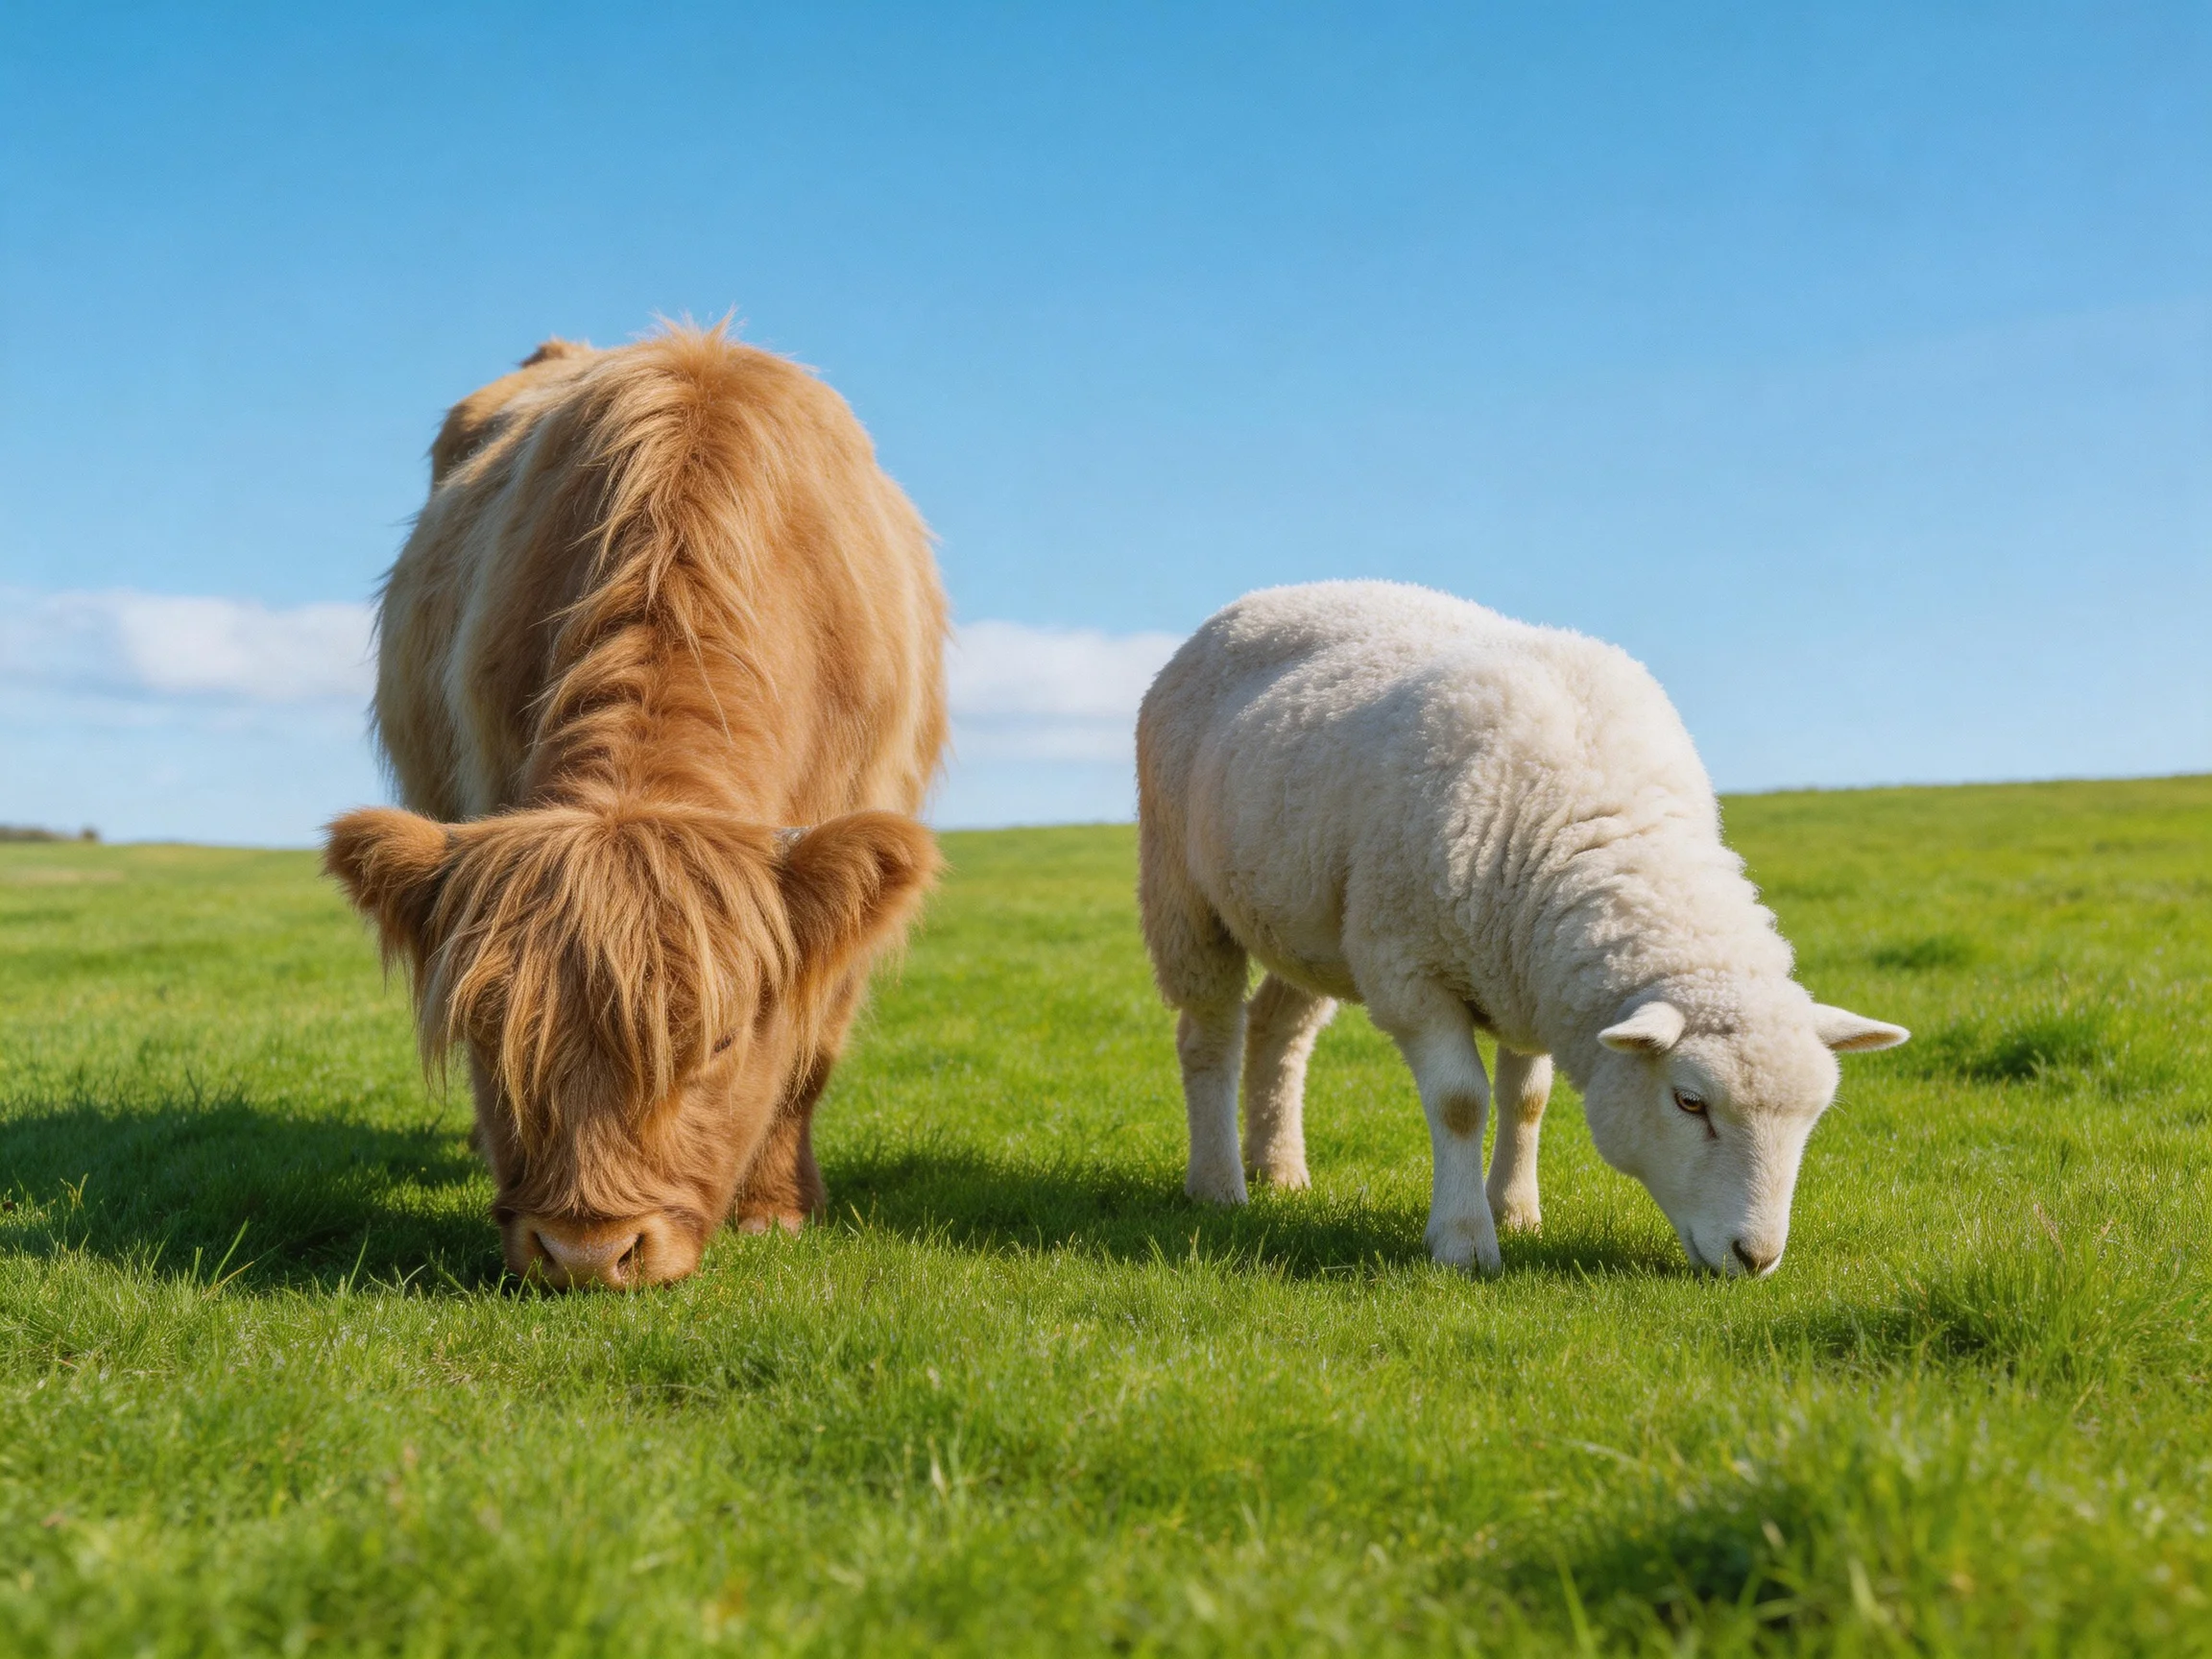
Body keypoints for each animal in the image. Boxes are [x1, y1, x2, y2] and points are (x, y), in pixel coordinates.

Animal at [1136, 581, 1906, 1277]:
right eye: (1689, 1102)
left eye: (1814, 1115)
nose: (1757, 1257)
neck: (1601, 819)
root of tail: (1257, 599)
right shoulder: (1409, 969)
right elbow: (1460, 1103)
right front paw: (1465, 1242)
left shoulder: (1529, 969)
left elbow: (1527, 1100)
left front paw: (1516, 1211)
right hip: (1183, 889)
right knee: (1210, 1036)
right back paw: (1219, 1184)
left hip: (1311, 923)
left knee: (1279, 1029)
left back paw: (1280, 1170)